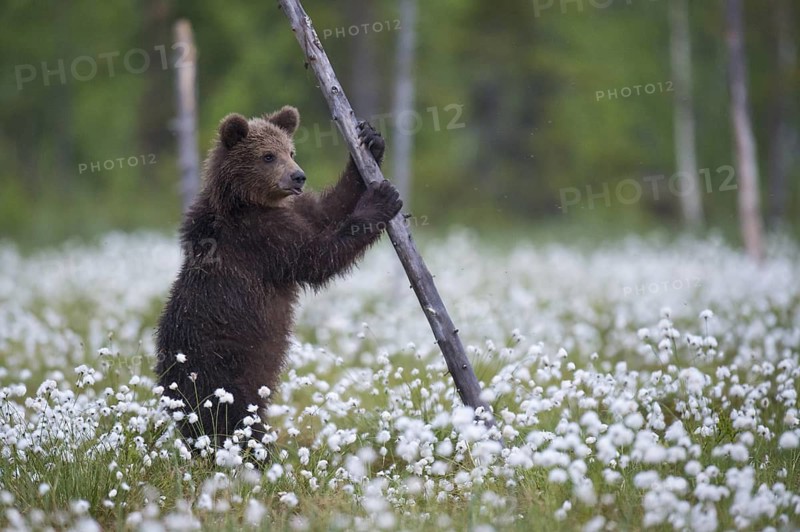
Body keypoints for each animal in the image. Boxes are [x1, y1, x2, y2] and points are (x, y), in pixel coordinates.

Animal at [155, 106, 401, 453]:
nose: (298, 176)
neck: (246, 202)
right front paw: (381, 198)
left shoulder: (292, 211)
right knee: (236, 418)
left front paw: (371, 142)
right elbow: (316, 257)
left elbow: (327, 210)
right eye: (268, 156)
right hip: (223, 369)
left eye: (291, 151)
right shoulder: (261, 241)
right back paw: (258, 453)